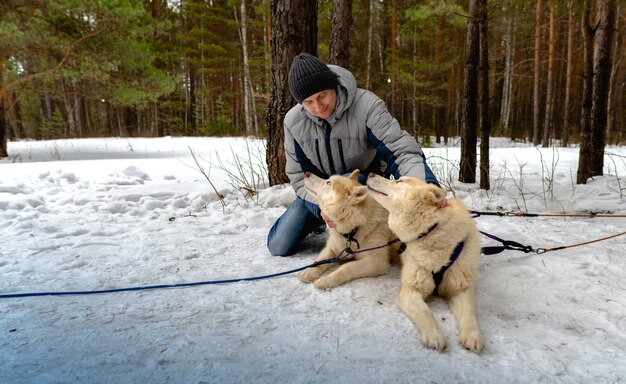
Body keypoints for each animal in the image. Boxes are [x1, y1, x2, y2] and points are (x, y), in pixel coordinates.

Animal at [366, 175, 482, 354]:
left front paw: (472, 335)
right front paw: (434, 335)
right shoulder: (410, 292)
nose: (371, 174)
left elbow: (469, 314)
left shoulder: (460, 290)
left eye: (399, 181)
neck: (431, 231)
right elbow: (425, 312)